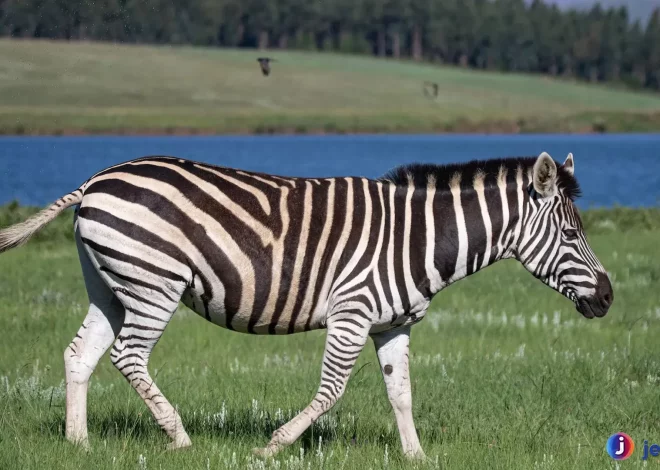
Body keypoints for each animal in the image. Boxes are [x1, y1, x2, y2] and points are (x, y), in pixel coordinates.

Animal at [0, 151, 613, 459]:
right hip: (154, 282)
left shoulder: (393, 325)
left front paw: (416, 457)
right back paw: (180, 438)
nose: (608, 298)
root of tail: (95, 179)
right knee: (128, 356)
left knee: (80, 354)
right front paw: (272, 447)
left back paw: (78, 443)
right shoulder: (352, 312)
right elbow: (332, 391)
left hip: (112, 284)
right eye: (570, 232)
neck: (416, 239)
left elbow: (401, 393)